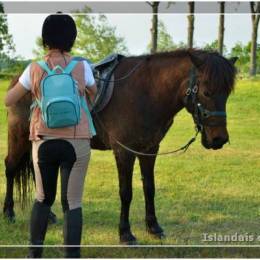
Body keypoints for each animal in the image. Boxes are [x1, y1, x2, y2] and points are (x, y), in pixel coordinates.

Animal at [3, 48, 237, 244]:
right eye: (206, 92)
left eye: (227, 93)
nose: (219, 139)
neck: (146, 93)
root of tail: (19, 78)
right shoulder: (124, 152)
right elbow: (126, 192)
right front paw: (125, 233)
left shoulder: (149, 150)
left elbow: (149, 188)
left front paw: (154, 227)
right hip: (19, 138)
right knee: (11, 166)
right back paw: (8, 213)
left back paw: (49, 215)